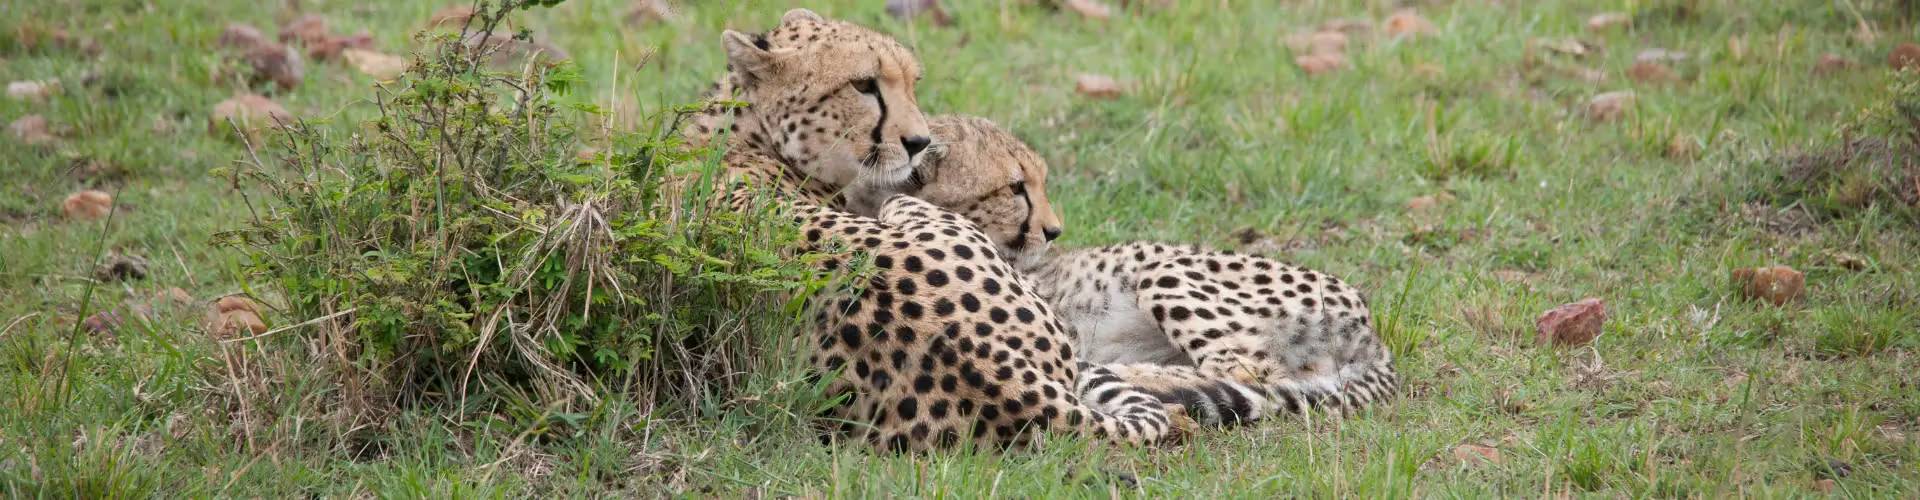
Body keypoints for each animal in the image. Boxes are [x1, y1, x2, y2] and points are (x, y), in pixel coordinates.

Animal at [892, 116, 1399, 426]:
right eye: (1016, 187)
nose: (1054, 231)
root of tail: (1372, 333)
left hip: (1163, 270)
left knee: (1248, 370)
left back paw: (1142, 379)